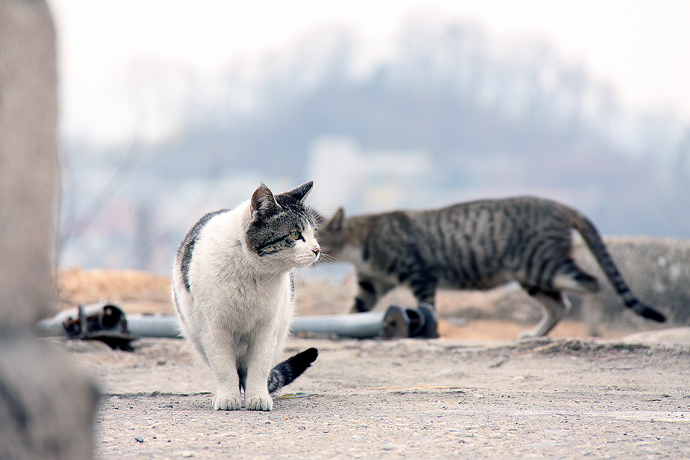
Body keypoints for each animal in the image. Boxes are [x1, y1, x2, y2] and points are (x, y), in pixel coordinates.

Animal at [173, 181, 322, 412]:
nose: (317, 249)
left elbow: (259, 367)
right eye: (296, 235)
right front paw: (227, 397)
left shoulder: (267, 328)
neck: (252, 274)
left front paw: (258, 397)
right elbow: (223, 367)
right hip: (194, 335)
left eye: (314, 232)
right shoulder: (213, 329)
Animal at [316, 196, 660, 336]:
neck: (364, 242)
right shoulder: (371, 283)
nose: (314, 249)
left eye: (316, 234)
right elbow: (354, 310)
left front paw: (428, 329)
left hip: (545, 265)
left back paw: (592, 329)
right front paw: (342, 330)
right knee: (559, 305)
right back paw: (536, 335)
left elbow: (427, 306)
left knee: (592, 283)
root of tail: (562, 205)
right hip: (532, 275)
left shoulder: (421, 273)